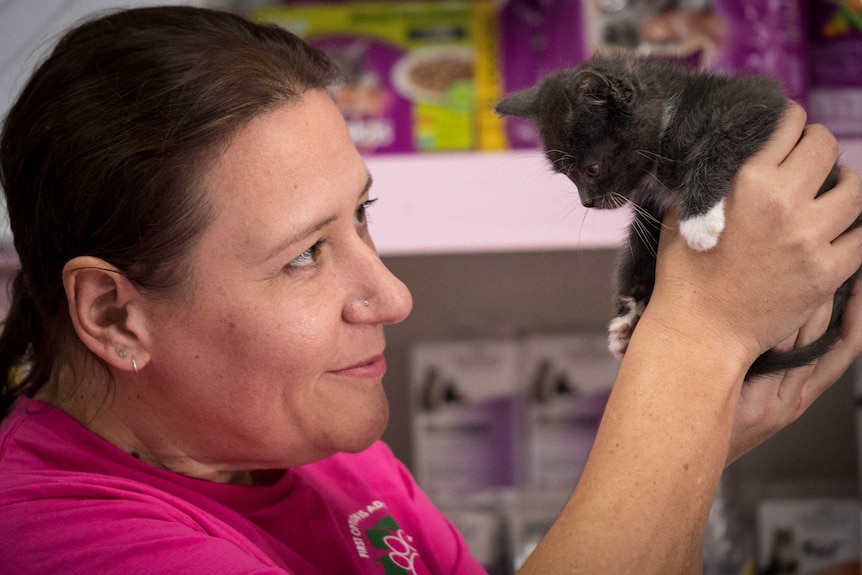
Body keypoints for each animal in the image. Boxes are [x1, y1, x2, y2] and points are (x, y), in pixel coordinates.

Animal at [496, 51, 852, 380]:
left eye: (591, 169)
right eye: (565, 175)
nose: (587, 202)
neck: (668, 120)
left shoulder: (754, 100)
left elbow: (721, 138)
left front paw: (699, 219)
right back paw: (627, 325)